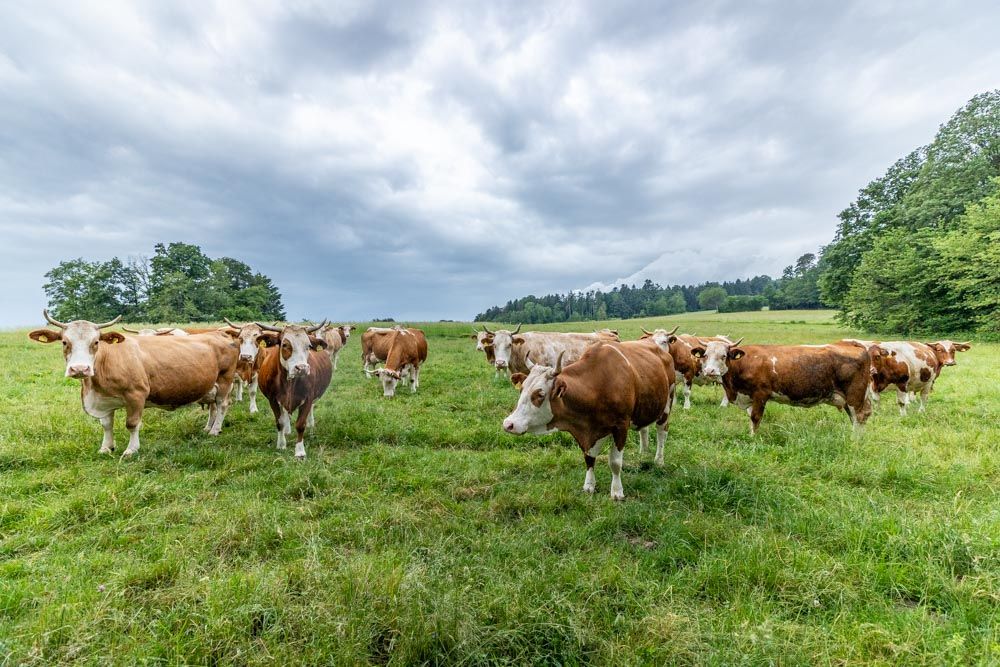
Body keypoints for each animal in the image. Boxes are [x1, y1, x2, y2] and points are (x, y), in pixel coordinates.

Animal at [29, 310, 239, 456]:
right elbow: (106, 424)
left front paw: (131, 449)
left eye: (96, 342)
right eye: (64, 342)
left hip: (225, 380)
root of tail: (219, 334)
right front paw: (106, 447)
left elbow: (132, 424)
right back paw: (209, 427)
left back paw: (215, 430)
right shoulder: (104, 400)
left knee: (222, 404)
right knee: (213, 406)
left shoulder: (136, 394)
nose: (80, 369)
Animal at [254, 321, 332, 459]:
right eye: (285, 345)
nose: (302, 368)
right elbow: (279, 422)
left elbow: (301, 424)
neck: (289, 382)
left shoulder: (308, 399)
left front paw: (300, 451)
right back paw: (287, 430)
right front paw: (281, 444)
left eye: (308, 345)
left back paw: (311, 426)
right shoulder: (273, 399)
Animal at [502, 340, 675, 500]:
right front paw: (589, 485)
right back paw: (643, 453)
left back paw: (659, 460)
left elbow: (615, 462)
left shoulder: (621, 426)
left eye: (540, 394)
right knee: (643, 429)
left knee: (662, 433)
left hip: (667, 404)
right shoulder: (587, 431)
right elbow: (589, 457)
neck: (599, 384)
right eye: (522, 389)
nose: (508, 424)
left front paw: (617, 491)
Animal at [690, 338, 873, 434]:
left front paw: (753, 438)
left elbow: (755, 417)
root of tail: (849, 343)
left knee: (859, 416)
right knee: (858, 417)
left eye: (723, 356)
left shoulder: (761, 394)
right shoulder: (748, 396)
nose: (710, 371)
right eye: (705, 355)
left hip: (855, 395)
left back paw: (855, 441)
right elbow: (750, 417)